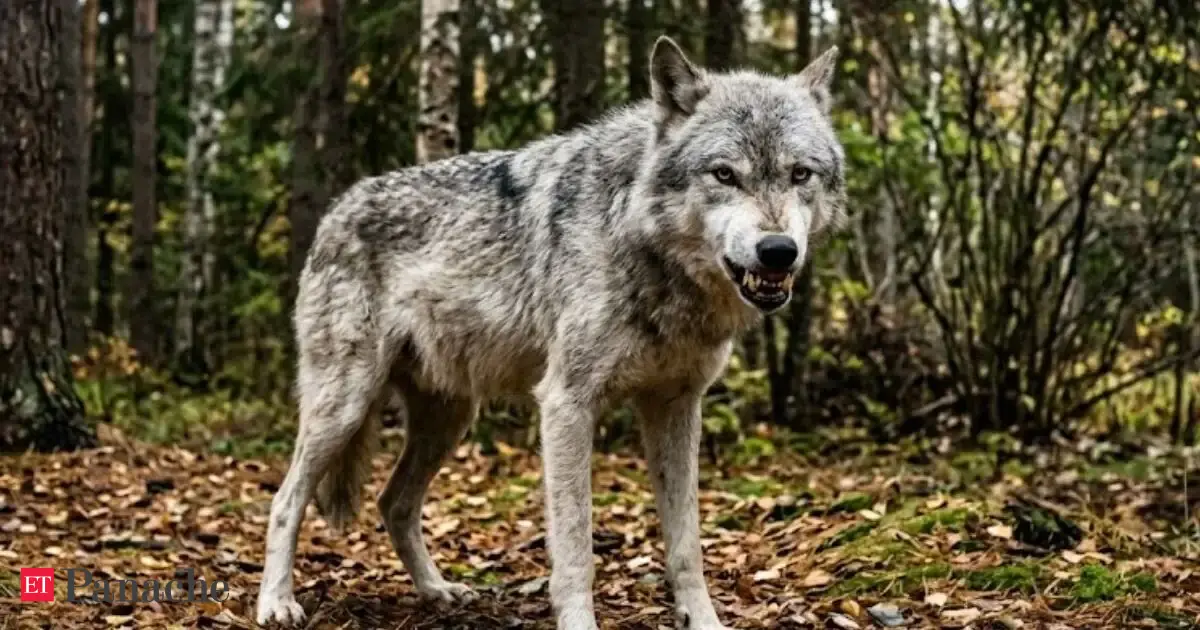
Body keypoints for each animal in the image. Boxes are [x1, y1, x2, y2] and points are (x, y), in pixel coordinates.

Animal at [256, 36, 846, 629]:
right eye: (725, 174)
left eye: (800, 174)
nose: (778, 251)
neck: (643, 244)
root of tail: (336, 209)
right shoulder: (566, 403)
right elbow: (575, 543)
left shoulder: (677, 406)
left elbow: (686, 545)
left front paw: (703, 620)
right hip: (345, 406)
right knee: (286, 499)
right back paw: (276, 602)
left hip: (449, 420)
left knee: (392, 503)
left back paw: (438, 591)